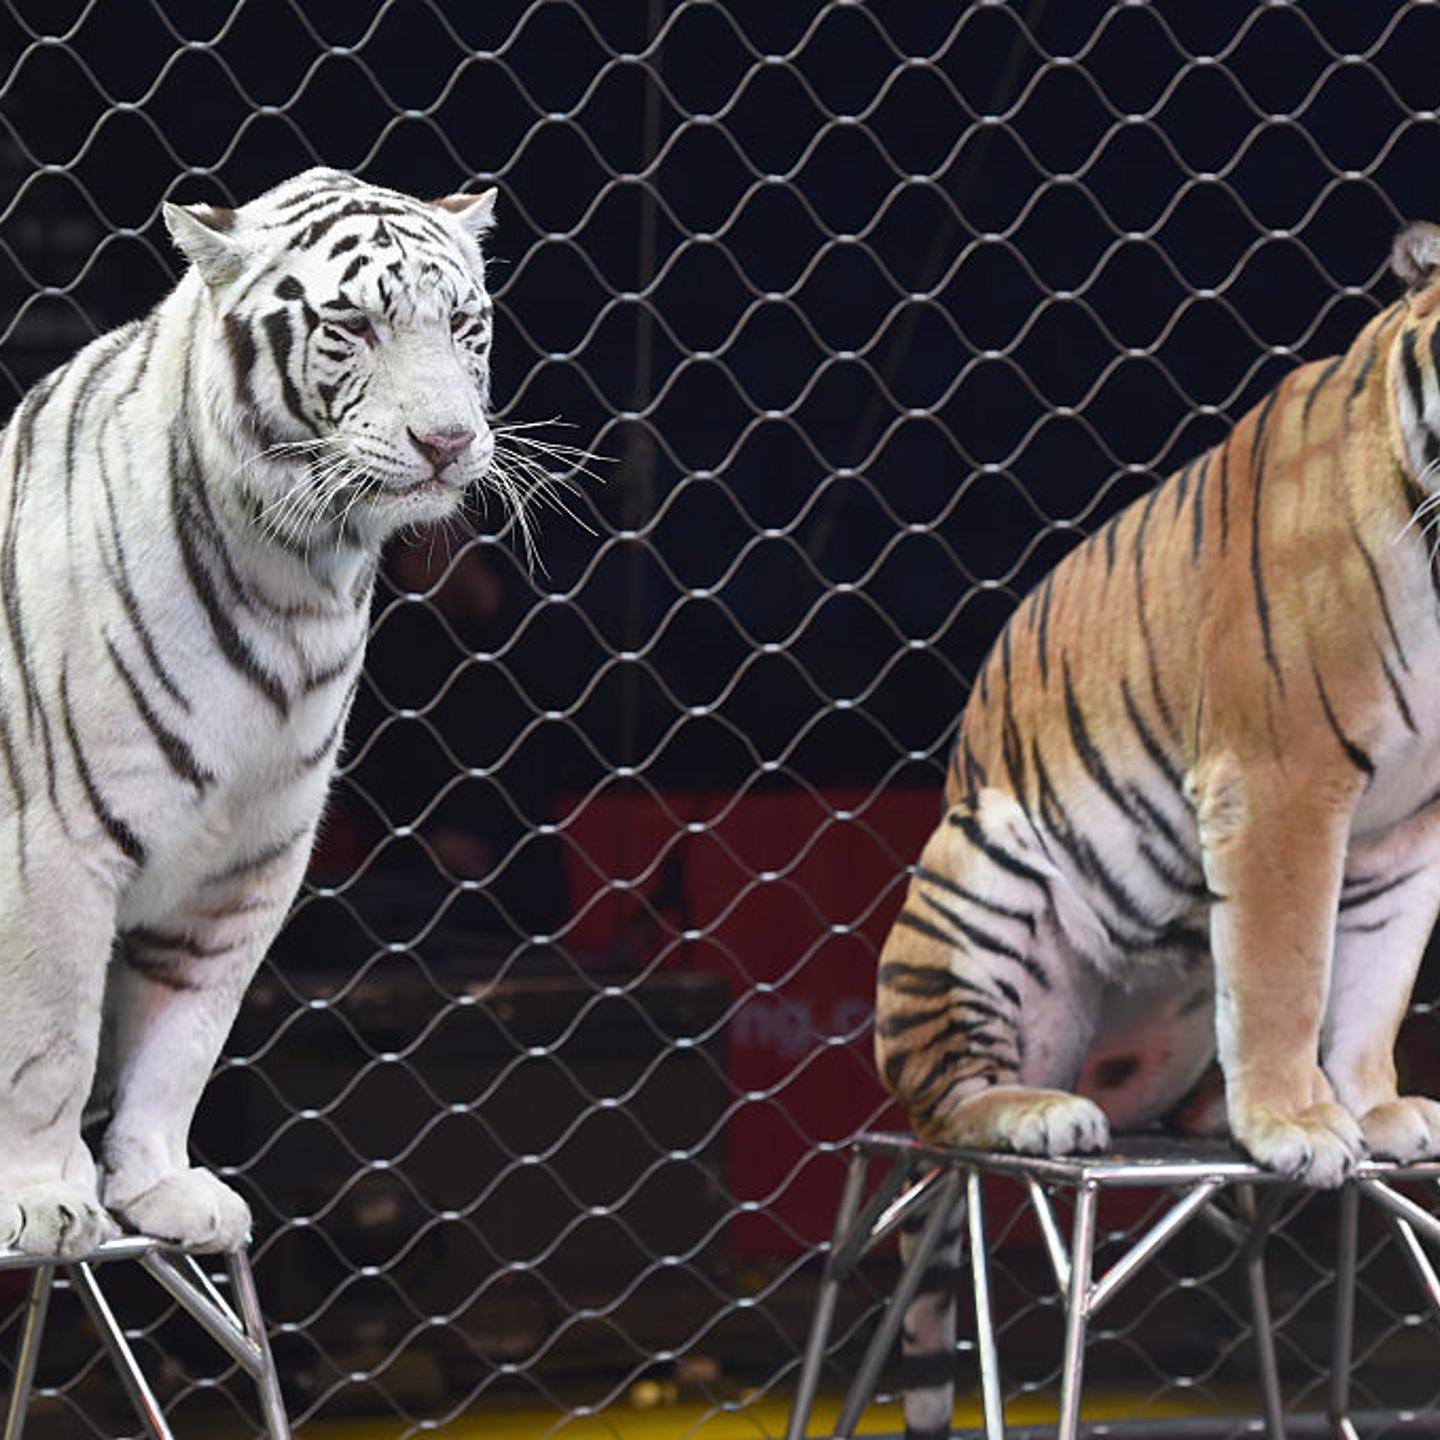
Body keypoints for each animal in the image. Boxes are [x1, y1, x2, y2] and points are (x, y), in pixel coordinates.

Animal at [0, 167, 504, 1258]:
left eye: (462, 324)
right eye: (353, 326)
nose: (448, 443)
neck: (300, 574)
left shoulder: (247, 861)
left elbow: (184, 1039)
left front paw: (161, 1188)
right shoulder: (53, 845)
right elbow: (51, 1039)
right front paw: (42, 1196)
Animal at [875, 221, 1440, 1433]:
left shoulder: (1414, 830)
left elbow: (1370, 987)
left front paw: (1371, 1107)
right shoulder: (1282, 779)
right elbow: (1285, 973)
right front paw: (1298, 1125)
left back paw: (1203, 1112)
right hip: (983, 870)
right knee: (944, 1104)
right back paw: (1042, 1116)